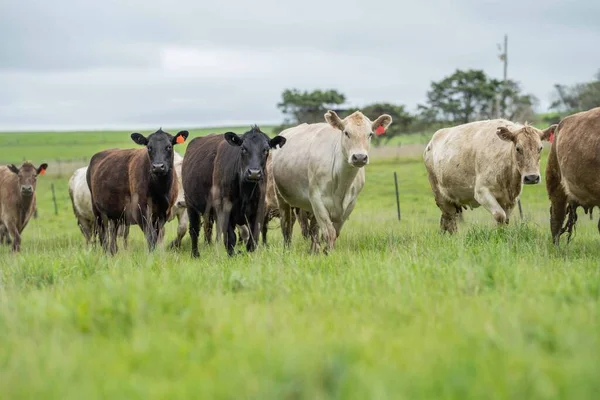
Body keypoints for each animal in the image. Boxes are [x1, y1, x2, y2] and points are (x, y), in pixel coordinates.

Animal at [211, 126, 286, 256]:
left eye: (266, 150)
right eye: (243, 149)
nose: (254, 173)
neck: (245, 192)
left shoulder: (259, 213)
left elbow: (253, 239)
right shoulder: (226, 210)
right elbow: (231, 238)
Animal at [272, 109, 394, 253]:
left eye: (370, 134)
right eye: (346, 132)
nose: (359, 157)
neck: (341, 183)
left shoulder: (349, 204)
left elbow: (335, 232)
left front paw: (326, 251)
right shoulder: (317, 200)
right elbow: (329, 232)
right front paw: (329, 253)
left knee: (313, 230)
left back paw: (314, 250)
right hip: (283, 200)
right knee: (287, 227)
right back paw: (288, 249)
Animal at [422, 117, 556, 233]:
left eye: (540, 148)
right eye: (518, 148)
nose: (532, 177)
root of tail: (431, 142)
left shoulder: (511, 199)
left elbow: (505, 220)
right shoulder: (482, 192)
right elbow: (500, 216)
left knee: (446, 220)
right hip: (440, 196)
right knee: (449, 219)